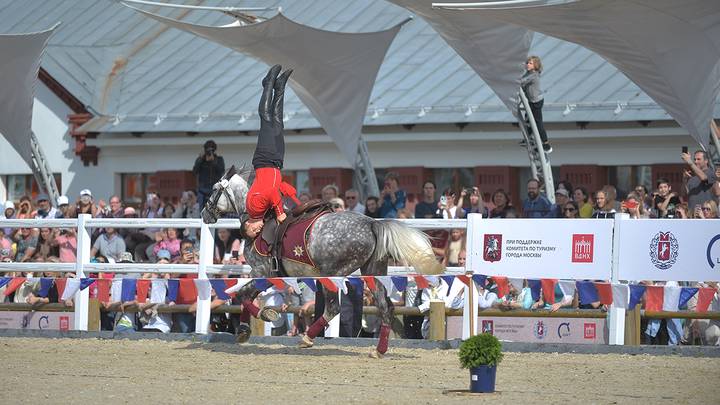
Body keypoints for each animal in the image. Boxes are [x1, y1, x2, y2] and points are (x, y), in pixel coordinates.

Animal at [200, 166, 442, 356]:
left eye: (214, 189)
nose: (204, 213)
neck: (261, 221)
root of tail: (373, 223)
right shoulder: (266, 274)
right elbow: (246, 295)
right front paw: (247, 328)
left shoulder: (263, 272)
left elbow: (243, 295)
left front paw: (257, 320)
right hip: (372, 271)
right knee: (385, 306)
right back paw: (379, 350)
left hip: (332, 273)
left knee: (334, 307)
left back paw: (307, 338)